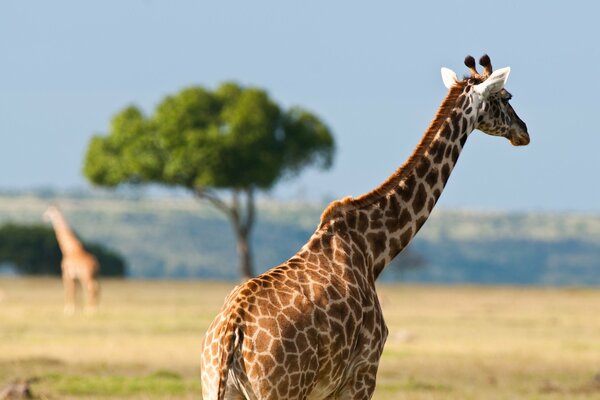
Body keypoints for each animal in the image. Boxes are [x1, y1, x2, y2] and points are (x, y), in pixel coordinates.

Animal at [202, 55, 528, 400]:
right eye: (506, 97)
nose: (524, 132)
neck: (374, 251)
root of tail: (229, 336)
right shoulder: (363, 373)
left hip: (217, 387)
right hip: (280, 390)